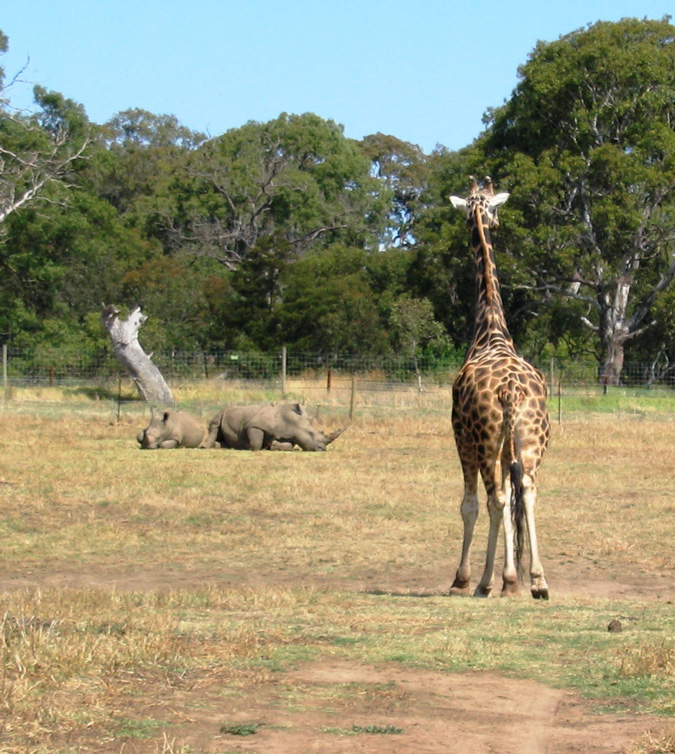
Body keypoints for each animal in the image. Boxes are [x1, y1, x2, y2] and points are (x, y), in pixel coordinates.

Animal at [203, 402, 346, 450]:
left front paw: (271, 445)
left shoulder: (290, 436)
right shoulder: (254, 425)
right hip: (223, 411)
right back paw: (208, 446)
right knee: (215, 425)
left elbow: (288, 445)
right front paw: (248, 446)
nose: (323, 449)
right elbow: (255, 442)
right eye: (311, 434)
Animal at [446, 176, 552, 600]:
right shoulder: (509, 447)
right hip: (530, 440)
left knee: (496, 498)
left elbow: (470, 504)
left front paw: (466, 579)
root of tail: (511, 392)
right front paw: (511, 578)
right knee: (527, 491)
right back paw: (537, 581)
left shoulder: (460, 437)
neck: (490, 327)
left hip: (486, 439)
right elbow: (509, 505)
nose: (495, 220)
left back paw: (487, 581)